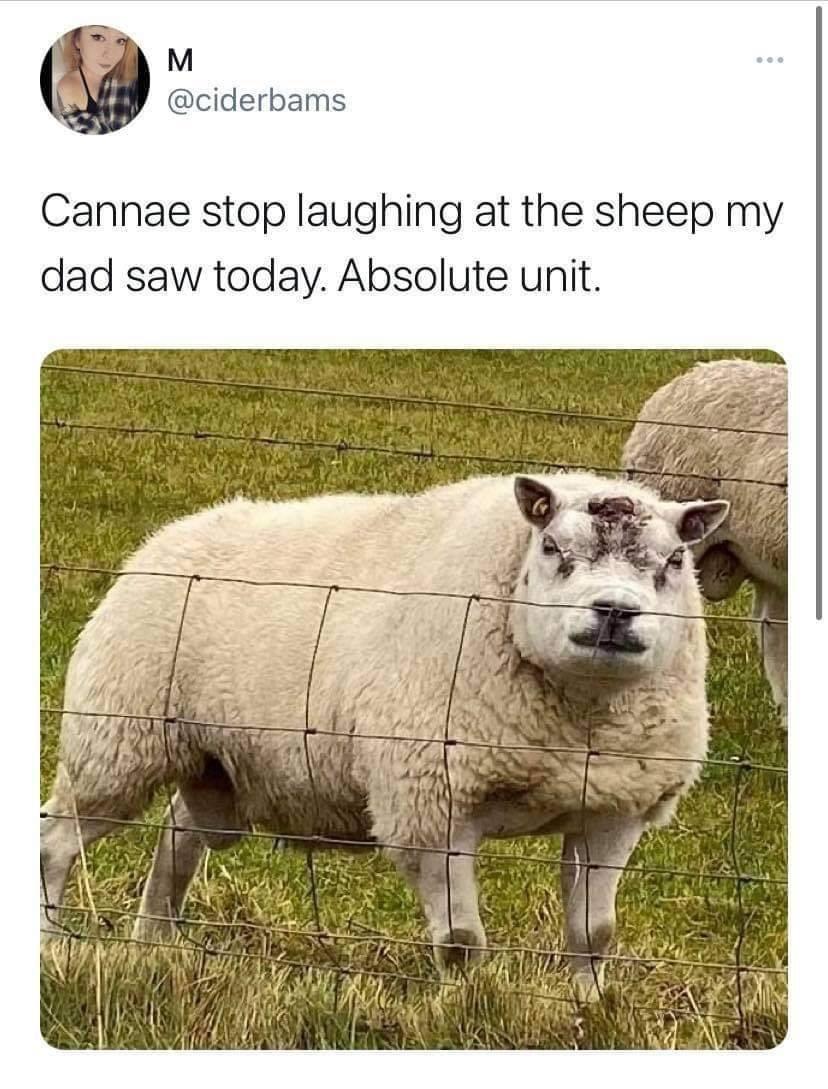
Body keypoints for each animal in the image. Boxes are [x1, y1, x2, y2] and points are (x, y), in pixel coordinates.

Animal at [40, 472, 729, 1001]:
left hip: (214, 761)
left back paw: (154, 940)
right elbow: (460, 942)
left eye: (674, 561)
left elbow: (594, 934)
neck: (579, 718)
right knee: (57, 840)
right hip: (115, 741)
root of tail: (172, 534)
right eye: (554, 547)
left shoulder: (615, 810)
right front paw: (462, 1007)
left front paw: (590, 1006)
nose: (614, 611)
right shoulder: (430, 806)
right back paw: (52, 942)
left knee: (178, 835)